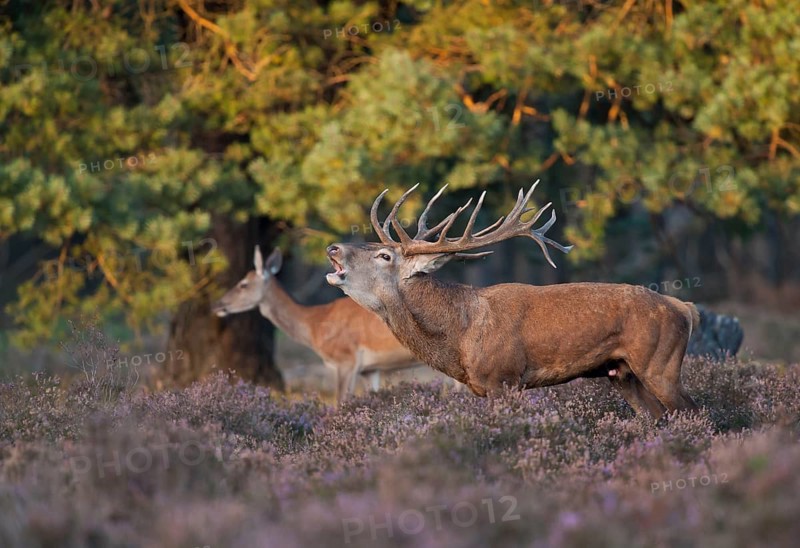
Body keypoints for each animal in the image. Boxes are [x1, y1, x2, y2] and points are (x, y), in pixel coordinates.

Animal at [211, 246, 422, 404]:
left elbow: (340, 403)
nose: (218, 305)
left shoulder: (345, 358)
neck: (315, 324)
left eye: (243, 284)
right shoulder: (370, 369)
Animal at [325, 181, 700, 420]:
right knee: (656, 417)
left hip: (660, 363)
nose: (333, 248)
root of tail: (685, 309)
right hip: (623, 373)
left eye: (384, 255)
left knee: (692, 410)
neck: (459, 338)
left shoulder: (503, 378)